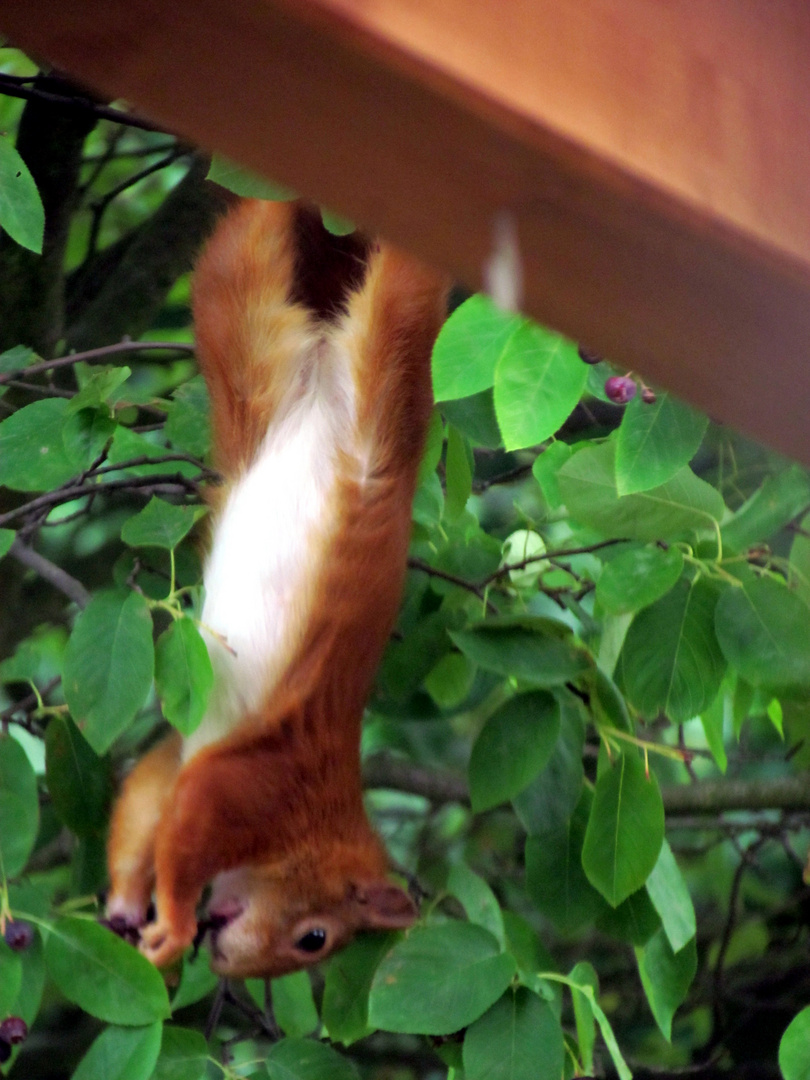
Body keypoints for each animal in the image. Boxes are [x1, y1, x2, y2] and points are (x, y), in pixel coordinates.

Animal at [104, 196, 451, 980]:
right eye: (314, 937)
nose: (225, 960)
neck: (319, 821)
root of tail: (323, 389)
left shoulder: (186, 758)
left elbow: (149, 798)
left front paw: (127, 905)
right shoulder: (264, 786)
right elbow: (193, 818)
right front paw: (174, 923)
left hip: (244, 337)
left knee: (241, 253)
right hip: (390, 355)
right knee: (405, 290)